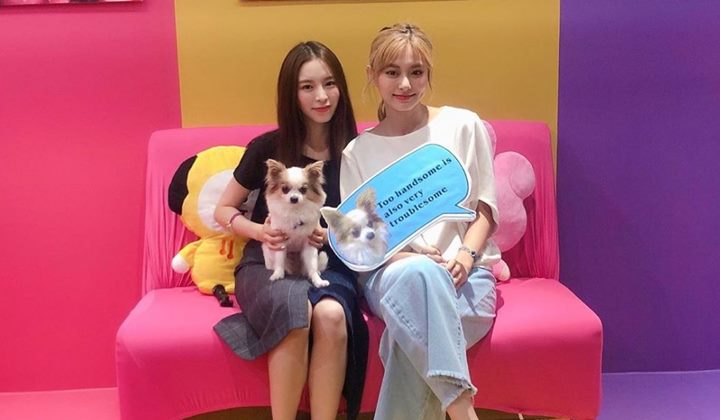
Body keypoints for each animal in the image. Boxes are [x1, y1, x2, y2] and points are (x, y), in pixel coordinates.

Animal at [263, 159, 329, 288]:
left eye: (303, 189)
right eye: (285, 189)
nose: (294, 198)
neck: (295, 211)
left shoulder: (310, 243)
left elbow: (312, 266)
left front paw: (317, 280)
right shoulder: (279, 240)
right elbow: (279, 261)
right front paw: (277, 274)